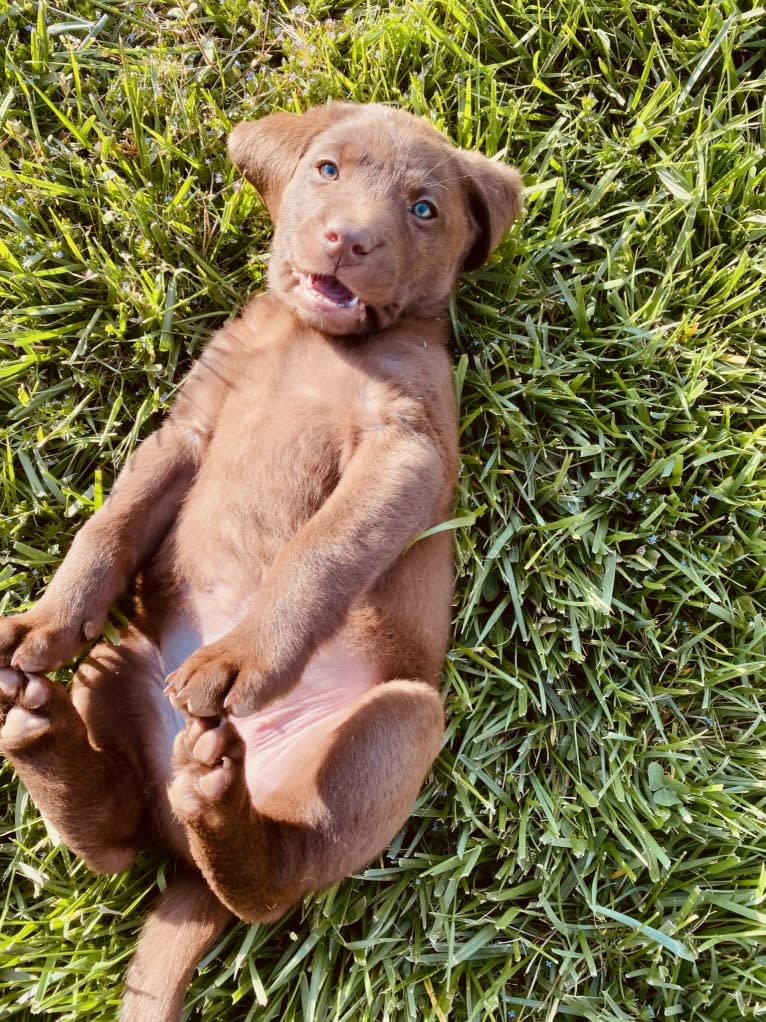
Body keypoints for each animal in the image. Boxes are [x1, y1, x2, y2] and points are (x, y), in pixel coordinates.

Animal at [0, 99, 522, 1017]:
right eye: (327, 169)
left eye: (424, 209)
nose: (348, 239)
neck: (315, 342)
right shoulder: (188, 430)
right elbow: (110, 525)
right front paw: (47, 619)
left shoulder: (403, 450)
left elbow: (317, 553)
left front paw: (244, 659)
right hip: (121, 667)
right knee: (122, 838)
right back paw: (46, 735)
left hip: (396, 727)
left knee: (271, 883)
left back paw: (217, 810)